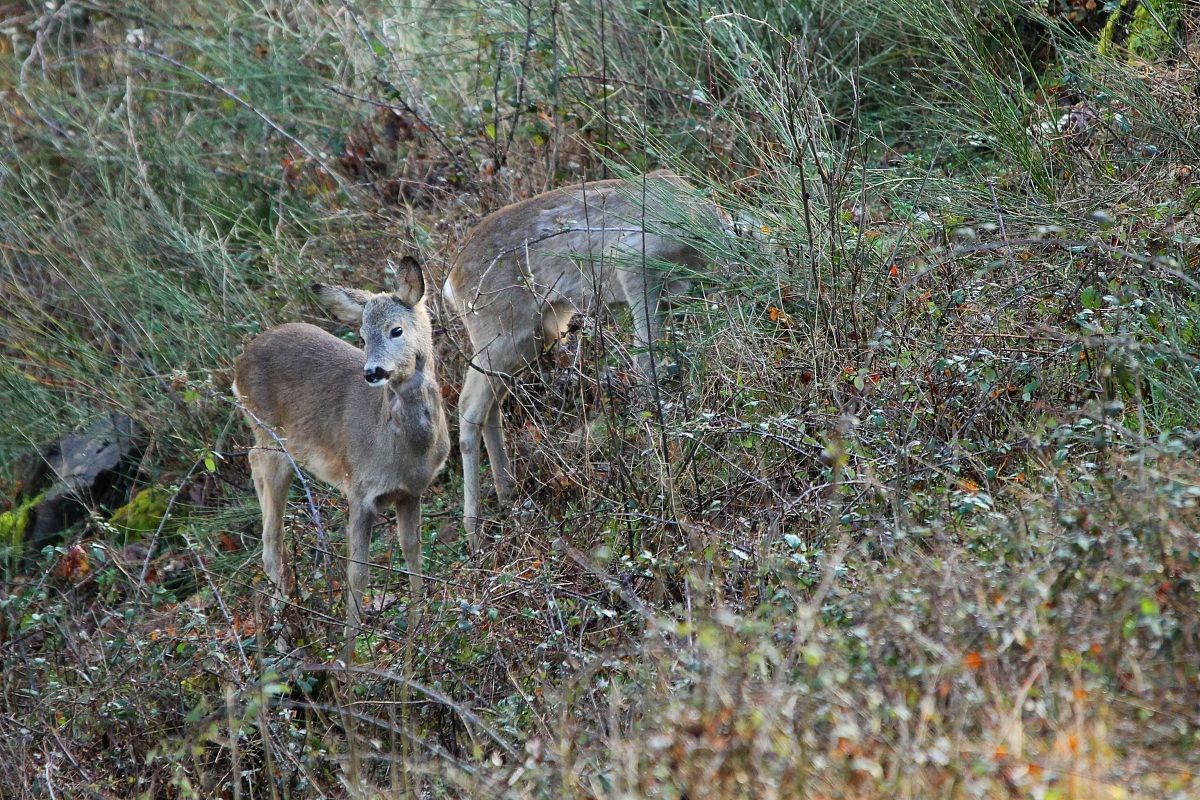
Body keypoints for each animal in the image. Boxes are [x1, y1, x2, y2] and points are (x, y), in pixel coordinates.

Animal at [233, 258, 450, 659]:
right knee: (271, 533)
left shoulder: (411, 493)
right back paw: (283, 641)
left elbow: (413, 555)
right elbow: (358, 573)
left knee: (254, 466)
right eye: (362, 337)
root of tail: (241, 358)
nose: (373, 371)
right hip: (272, 439)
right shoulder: (360, 490)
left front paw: (416, 641)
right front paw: (350, 659)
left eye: (396, 330)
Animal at [442, 170, 730, 548]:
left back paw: (508, 495)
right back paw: (474, 531)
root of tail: (451, 282)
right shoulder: (636, 264)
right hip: (498, 334)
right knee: (469, 406)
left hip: (530, 339)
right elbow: (647, 363)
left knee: (491, 406)